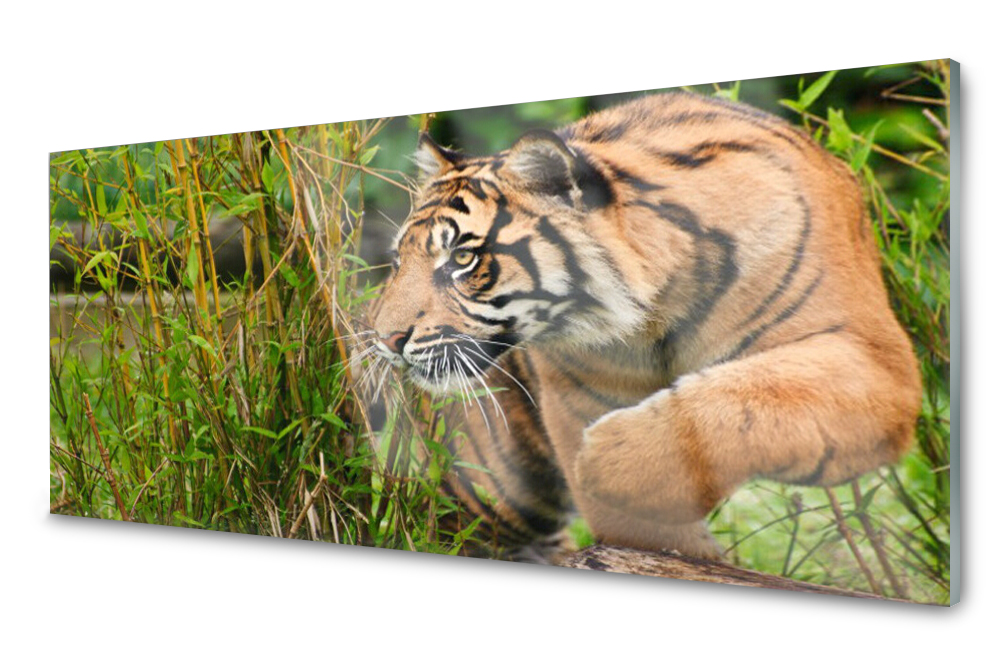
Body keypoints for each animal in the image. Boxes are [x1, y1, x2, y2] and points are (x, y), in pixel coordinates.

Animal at [365, 91, 922, 560]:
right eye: (399, 261)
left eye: (462, 258)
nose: (386, 340)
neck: (656, 312)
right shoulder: (578, 397)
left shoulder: (873, 361)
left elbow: (750, 398)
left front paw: (605, 460)